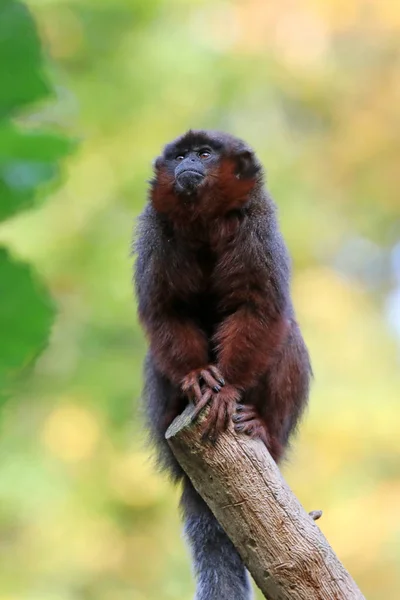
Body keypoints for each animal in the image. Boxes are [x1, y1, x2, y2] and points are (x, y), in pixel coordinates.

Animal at [133, 130, 310, 600]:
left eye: (205, 153)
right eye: (179, 156)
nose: (187, 164)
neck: (205, 221)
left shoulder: (258, 223)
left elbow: (259, 306)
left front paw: (227, 391)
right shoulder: (154, 229)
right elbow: (167, 309)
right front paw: (199, 377)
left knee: (287, 333)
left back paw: (262, 426)